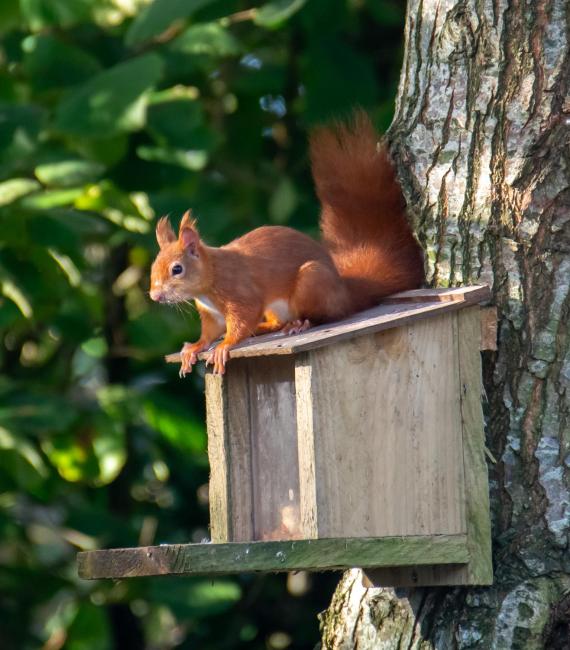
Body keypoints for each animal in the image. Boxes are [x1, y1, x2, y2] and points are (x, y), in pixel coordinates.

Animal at [149, 111, 424, 375]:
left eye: (177, 269)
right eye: (153, 268)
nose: (154, 296)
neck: (210, 279)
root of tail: (344, 291)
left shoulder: (241, 294)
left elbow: (242, 320)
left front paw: (225, 345)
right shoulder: (210, 314)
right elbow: (209, 333)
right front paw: (193, 348)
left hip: (312, 281)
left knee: (329, 315)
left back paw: (301, 324)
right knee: (278, 322)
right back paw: (267, 326)